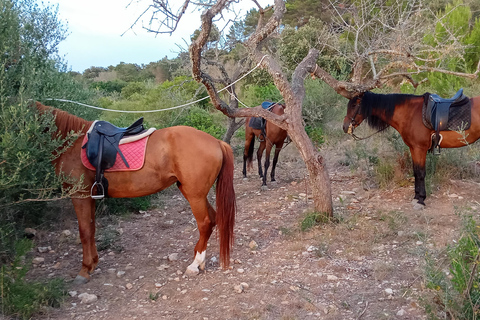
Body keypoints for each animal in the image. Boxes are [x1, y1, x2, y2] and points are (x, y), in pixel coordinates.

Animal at [33, 102, 236, 282]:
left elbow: (84, 231)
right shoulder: (89, 197)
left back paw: (195, 264)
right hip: (191, 192)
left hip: (195, 195)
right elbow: (91, 229)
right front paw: (93, 263)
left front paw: (84, 270)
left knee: (205, 223)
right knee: (213, 219)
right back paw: (200, 261)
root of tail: (216, 142)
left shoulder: (79, 196)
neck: (72, 143)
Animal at [342, 91, 480, 209]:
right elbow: (416, 172)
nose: (344, 126)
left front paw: (421, 200)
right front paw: (416, 197)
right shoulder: (413, 148)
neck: (411, 114)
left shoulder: (419, 149)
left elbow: (421, 173)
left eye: (354, 105)